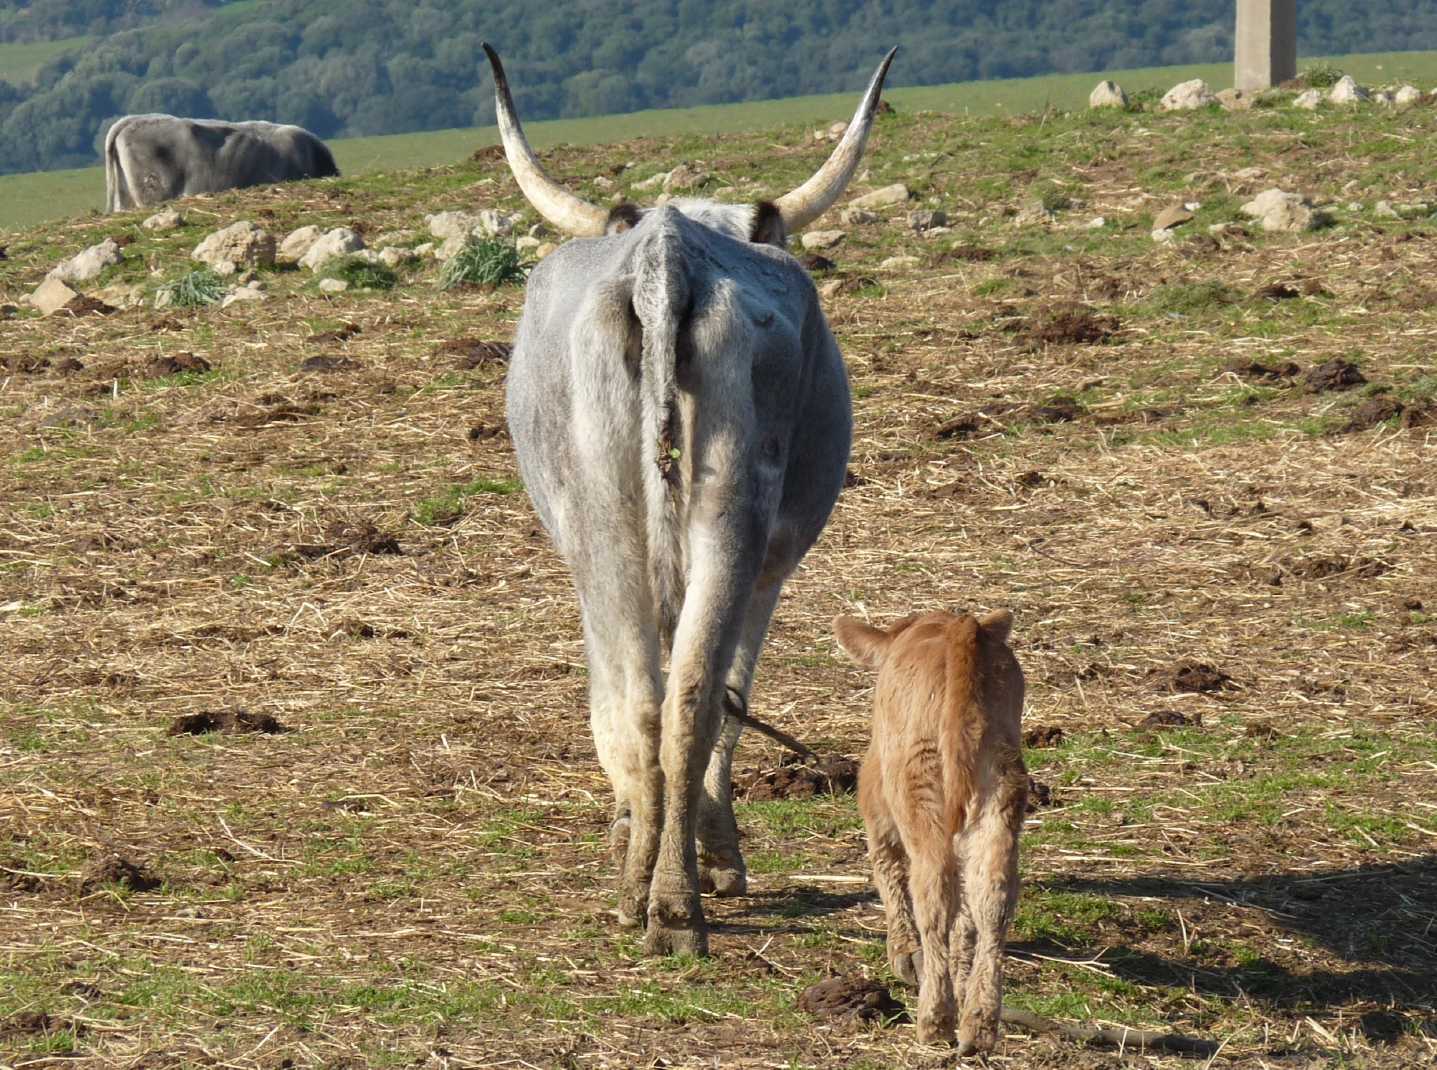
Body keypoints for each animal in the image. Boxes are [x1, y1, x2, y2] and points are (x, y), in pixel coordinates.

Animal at [494, 43, 896, 953]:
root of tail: (666, 252)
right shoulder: (771, 571)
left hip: (612, 522)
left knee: (655, 700)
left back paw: (655, 891)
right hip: (727, 524)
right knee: (688, 695)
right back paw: (675, 890)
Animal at [839, 608, 1028, 1051]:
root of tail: (961, 628)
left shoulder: (878, 805)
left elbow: (888, 869)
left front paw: (904, 954)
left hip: (919, 794)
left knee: (934, 894)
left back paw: (935, 1020)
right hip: (1001, 792)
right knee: (992, 898)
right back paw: (978, 1024)